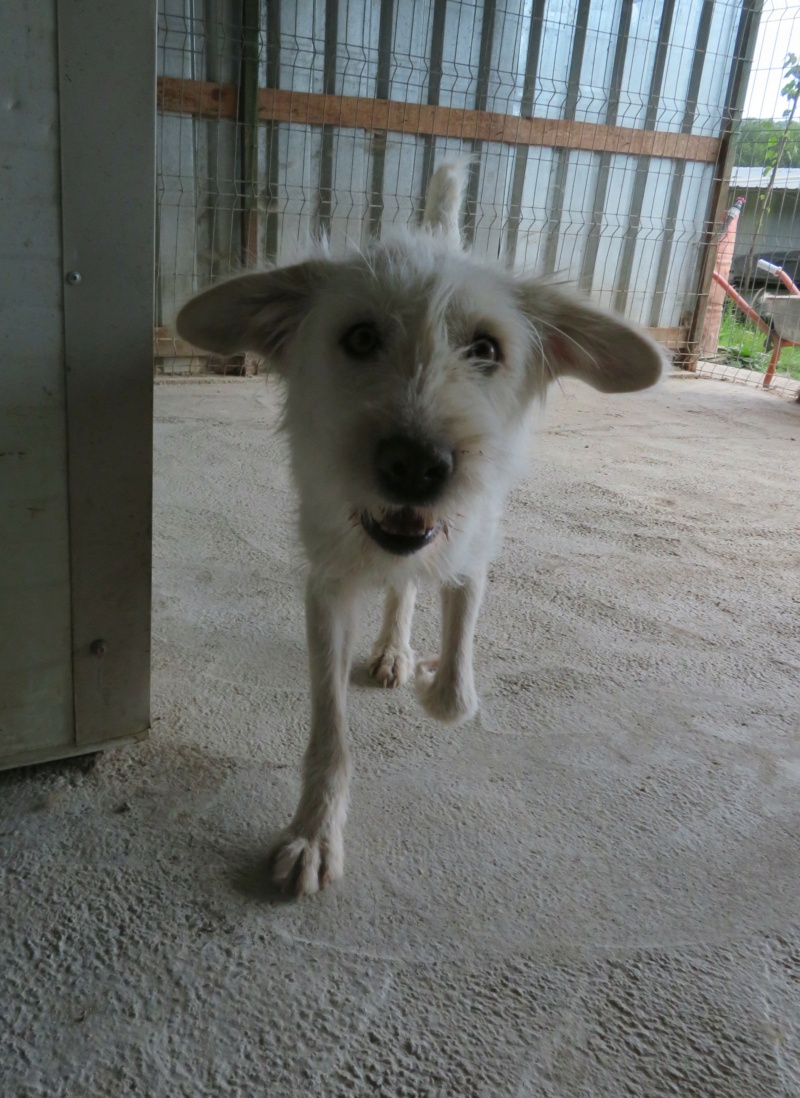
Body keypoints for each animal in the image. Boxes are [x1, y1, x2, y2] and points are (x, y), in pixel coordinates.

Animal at [177, 164, 662, 900]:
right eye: (359, 338)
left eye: (486, 349)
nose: (417, 466)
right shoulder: (328, 585)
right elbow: (330, 728)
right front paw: (315, 832)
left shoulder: (472, 545)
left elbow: (456, 685)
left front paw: (437, 678)